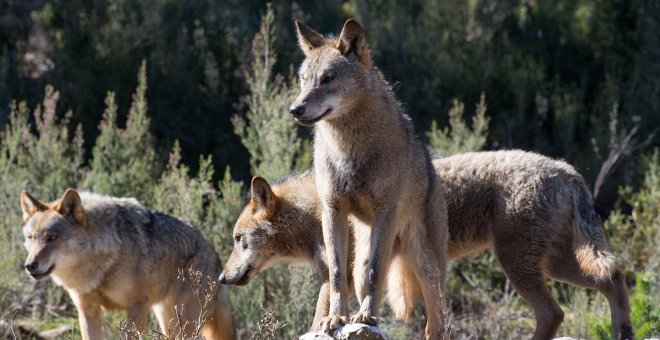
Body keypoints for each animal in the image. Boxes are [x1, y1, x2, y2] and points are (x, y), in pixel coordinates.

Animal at [19, 189, 235, 340]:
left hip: (181, 322)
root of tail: (216, 257)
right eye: (30, 238)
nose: (30, 265)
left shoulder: (138, 306)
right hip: (168, 320)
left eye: (52, 237)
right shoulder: (88, 310)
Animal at [220, 151, 636, 340]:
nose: (222, 279)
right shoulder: (338, 277)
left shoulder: (346, 275)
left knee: (554, 312)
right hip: (555, 265)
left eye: (239, 241)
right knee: (614, 279)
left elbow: (323, 315)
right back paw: (624, 332)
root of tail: (568, 171)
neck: (314, 211)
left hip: (520, 265)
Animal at [292, 18, 452, 338]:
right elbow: (336, 274)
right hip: (363, 256)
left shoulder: (384, 212)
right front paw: (335, 318)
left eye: (328, 78)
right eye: (304, 79)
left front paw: (366, 317)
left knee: (436, 322)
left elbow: (377, 275)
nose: (296, 109)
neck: (349, 150)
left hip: (425, 265)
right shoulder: (333, 211)